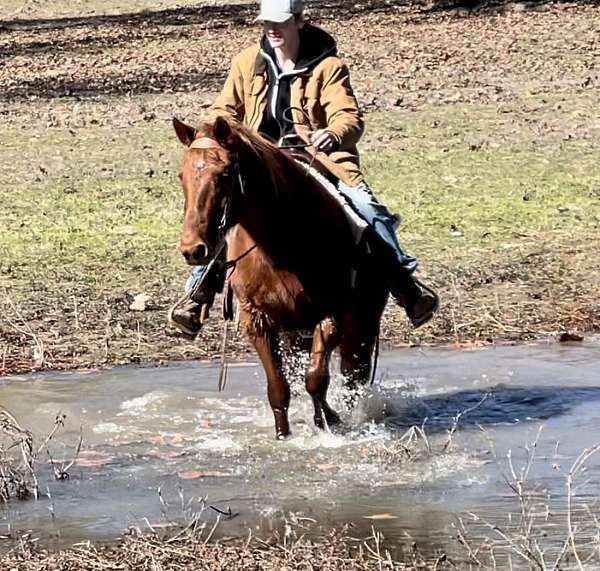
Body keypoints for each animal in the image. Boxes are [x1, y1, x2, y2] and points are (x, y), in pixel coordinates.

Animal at [173, 115, 390, 438]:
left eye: (225, 173)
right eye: (181, 175)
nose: (193, 249)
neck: (281, 243)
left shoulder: (332, 315)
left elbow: (315, 380)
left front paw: (326, 424)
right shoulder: (257, 320)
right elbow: (279, 388)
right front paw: (283, 435)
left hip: (360, 325)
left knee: (353, 377)